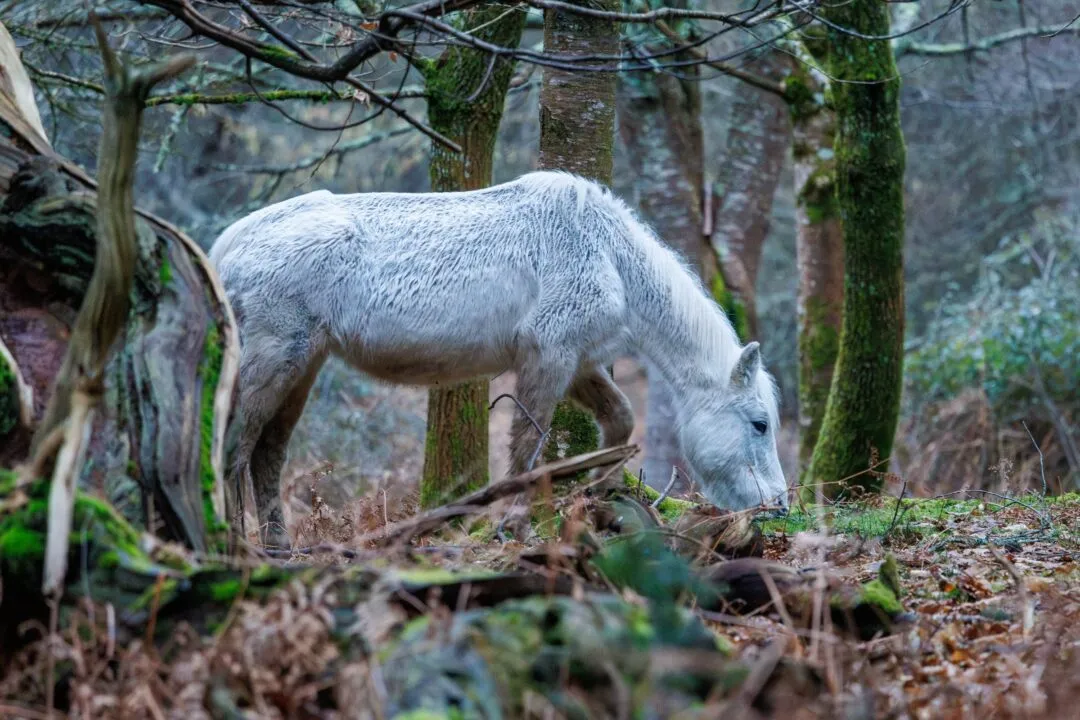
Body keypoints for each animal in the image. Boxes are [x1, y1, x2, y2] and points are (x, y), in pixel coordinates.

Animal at [209, 171, 787, 548]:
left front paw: (599, 490)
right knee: (234, 446)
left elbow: (620, 420)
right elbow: (528, 447)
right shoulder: (548, 357)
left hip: (304, 366)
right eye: (759, 424)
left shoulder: (577, 363)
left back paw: (279, 547)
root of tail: (229, 244)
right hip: (274, 360)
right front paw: (514, 524)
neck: (610, 257)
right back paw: (237, 546)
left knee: (267, 454)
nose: (779, 506)